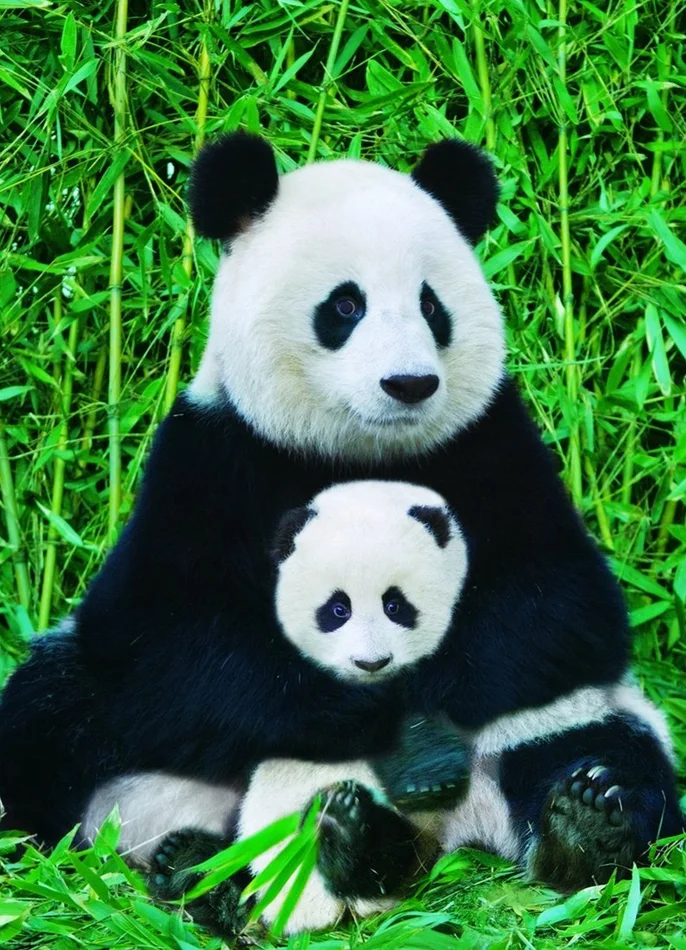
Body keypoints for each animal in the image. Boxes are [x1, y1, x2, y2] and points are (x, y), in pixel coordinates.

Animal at [0, 133, 681, 928]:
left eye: (431, 305)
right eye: (346, 305)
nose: (410, 384)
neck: (358, 451)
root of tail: (451, 834)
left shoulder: (492, 445)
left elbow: (560, 607)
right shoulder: (210, 457)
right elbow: (162, 637)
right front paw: (369, 712)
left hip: (570, 716)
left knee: (605, 746)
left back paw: (579, 824)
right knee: (51, 716)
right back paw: (208, 868)